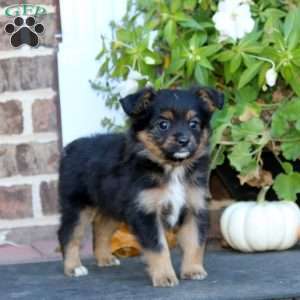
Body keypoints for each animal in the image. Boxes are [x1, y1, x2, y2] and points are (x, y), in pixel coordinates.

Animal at [57, 86, 224, 286]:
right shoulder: (146, 212)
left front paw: (193, 270)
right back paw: (73, 266)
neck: (172, 167)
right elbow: (158, 247)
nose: (184, 141)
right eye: (163, 124)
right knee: (68, 234)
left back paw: (105, 258)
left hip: (112, 205)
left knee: (101, 228)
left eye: (193, 123)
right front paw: (164, 276)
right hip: (77, 206)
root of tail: (69, 148)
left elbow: (195, 242)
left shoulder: (194, 207)